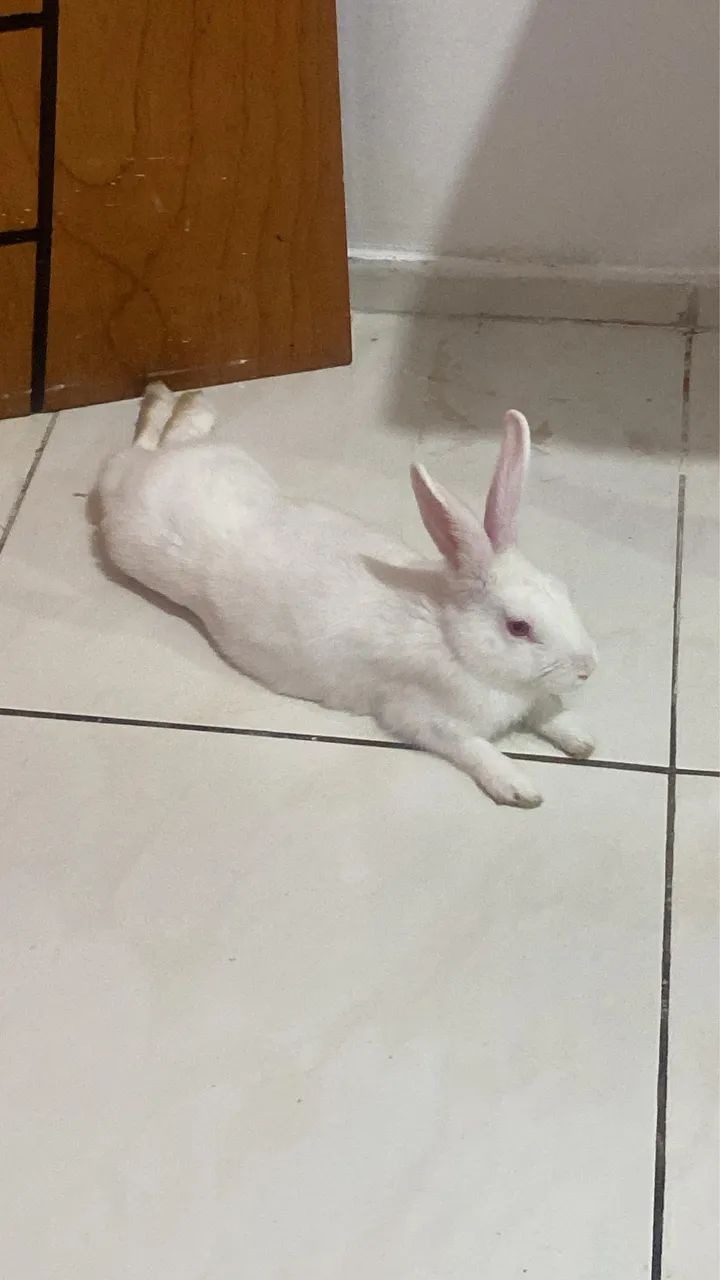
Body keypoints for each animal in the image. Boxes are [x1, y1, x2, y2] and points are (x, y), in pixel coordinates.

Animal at [96, 382, 597, 808]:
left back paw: (182, 401)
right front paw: (520, 788)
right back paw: (161, 400)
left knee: (167, 438)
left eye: (561, 589)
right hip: (128, 535)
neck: (453, 637)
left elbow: (550, 713)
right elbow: (475, 749)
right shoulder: (422, 717)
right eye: (518, 626)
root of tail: (156, 471)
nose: (588, 669)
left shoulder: (531, 698)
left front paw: (583, 742)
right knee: (129, 453)